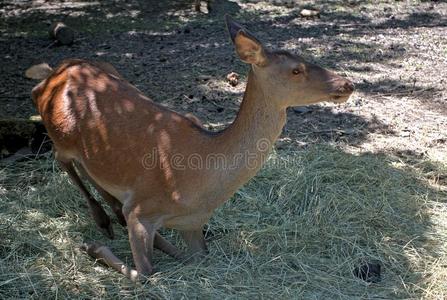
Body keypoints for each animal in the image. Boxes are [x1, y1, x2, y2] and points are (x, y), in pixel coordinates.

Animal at [29, 16, 356, 282]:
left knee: (95, 176)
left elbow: (195, 258)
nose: (348, 84)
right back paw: (101, 221)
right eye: (296, 70)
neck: (200, 185)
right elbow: (145, 274)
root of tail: (52, 74)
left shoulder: (193, 224)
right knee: (64, 160)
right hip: (61, 133)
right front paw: (94, 247)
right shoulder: (142, 209)